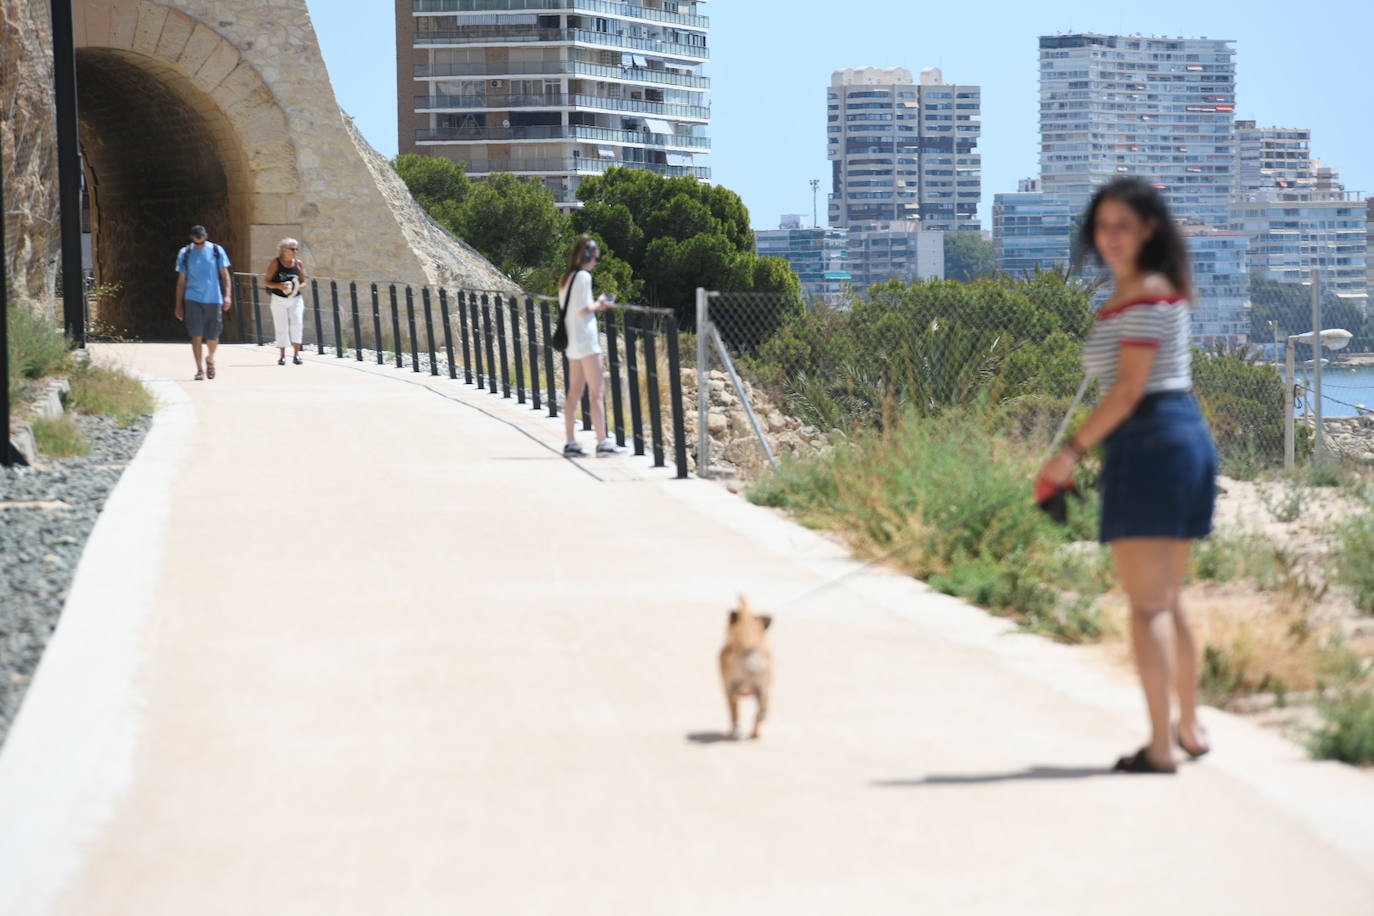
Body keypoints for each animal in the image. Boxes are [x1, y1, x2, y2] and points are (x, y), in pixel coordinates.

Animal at [719, 598, 774, 741]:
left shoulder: (727, 688)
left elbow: (733, 712)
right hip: (765, 692)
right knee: (760, 714)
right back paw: (755, 734)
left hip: (733, 688)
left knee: (736, 712)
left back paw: (737, 731)